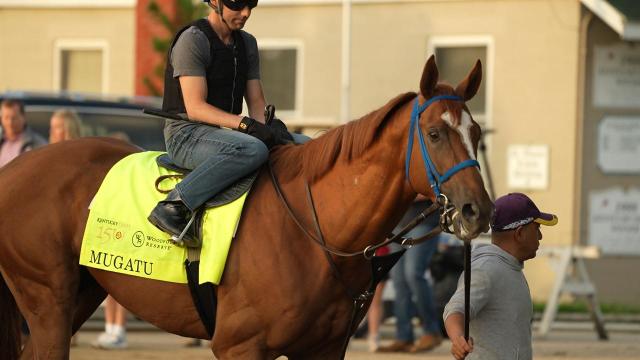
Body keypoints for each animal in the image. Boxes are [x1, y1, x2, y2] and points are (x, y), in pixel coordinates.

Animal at [0, 54, 490, 358]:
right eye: (434, 134)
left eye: (477, 132)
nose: (478, 211)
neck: (313, 229)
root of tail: (15, 169)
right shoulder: (240, 346)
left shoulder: (323, 349)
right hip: (47, 297)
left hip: (81, 293)